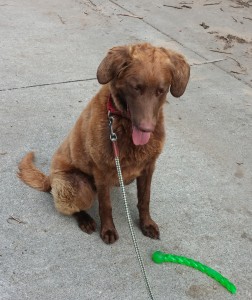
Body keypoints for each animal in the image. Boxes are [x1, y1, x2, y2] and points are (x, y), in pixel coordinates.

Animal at [18, 42, 189, 244]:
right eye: (136, 87)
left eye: (160, 90)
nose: (147, 128)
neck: (122, 123)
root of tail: (49, 178)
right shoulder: (102, 171)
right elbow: (105, 205)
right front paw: (108, 229)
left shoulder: (148, 168)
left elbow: (144, 200)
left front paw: (146, 224)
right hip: (78, 185)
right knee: (70, 206)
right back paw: (85, 219)